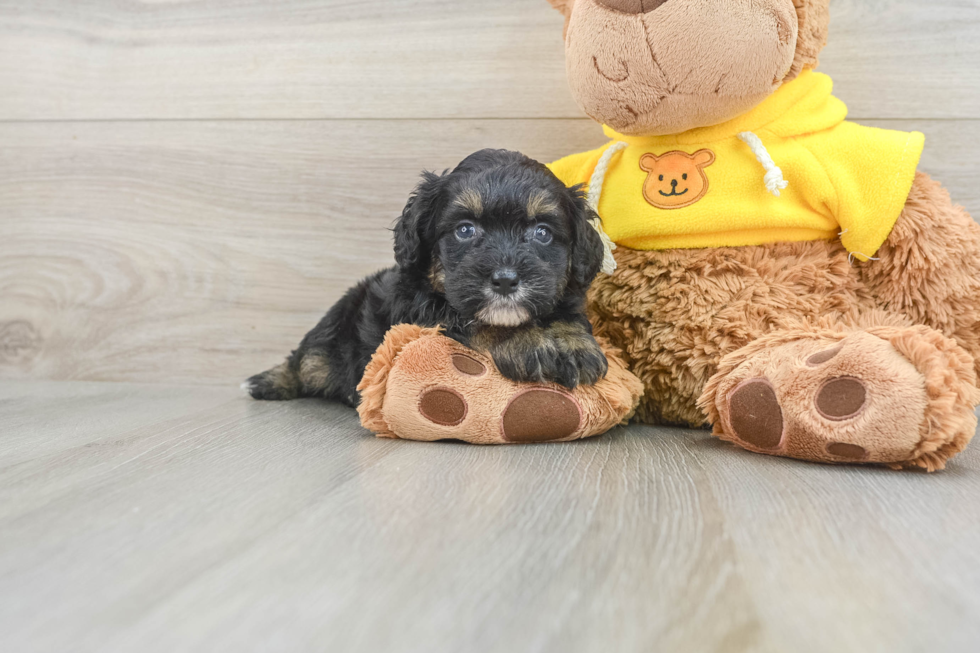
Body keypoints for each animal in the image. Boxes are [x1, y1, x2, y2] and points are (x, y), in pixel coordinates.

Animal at [245, 150, 608, 410]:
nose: (505, 280)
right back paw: (271, 381)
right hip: (331, 335)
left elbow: (568, 319)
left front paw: (574, 346)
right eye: (465, 230)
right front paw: (528, 342)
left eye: (542, 233)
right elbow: (475, 322)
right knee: (306, 360)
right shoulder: (424, 312)